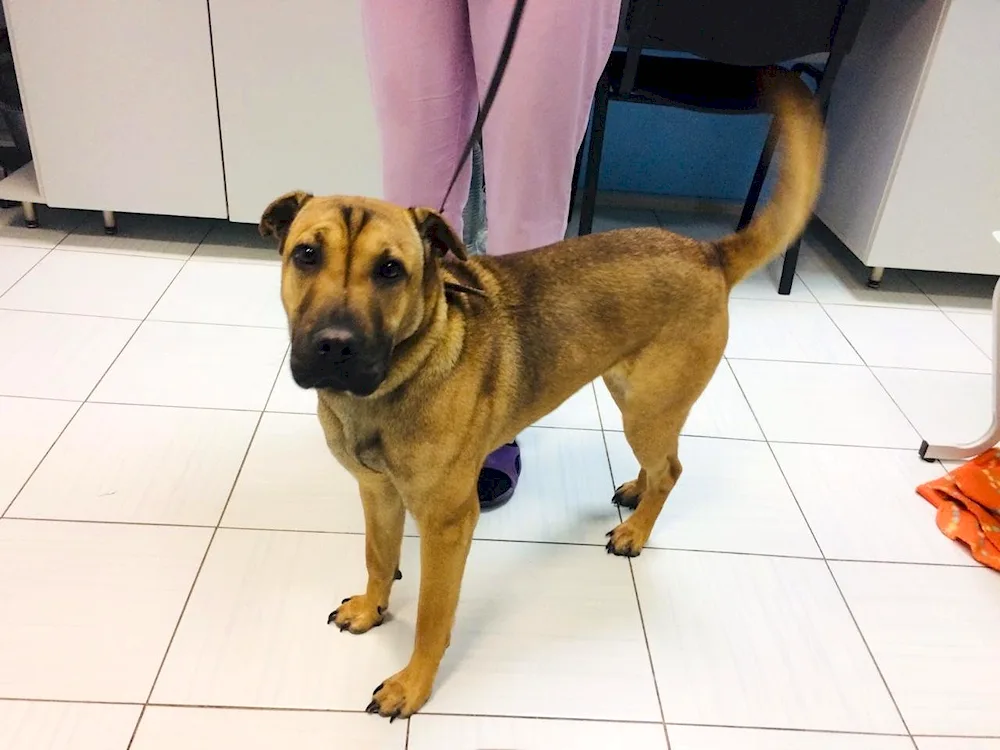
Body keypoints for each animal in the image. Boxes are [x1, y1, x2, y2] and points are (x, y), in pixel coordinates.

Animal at [260, 76, 828, 724]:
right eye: (306, 254)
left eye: (390, 270)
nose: (335, 346)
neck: (397, 376)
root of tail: (707, 253)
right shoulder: (377, 493)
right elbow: (378, 558)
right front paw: (371, 608)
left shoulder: (448, 522)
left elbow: (432, 613)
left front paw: (414, 684)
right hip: (633, 397)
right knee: (660, 464)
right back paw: (635, 493)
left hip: (648, 406)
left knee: (673, 469)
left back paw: (636, 531)